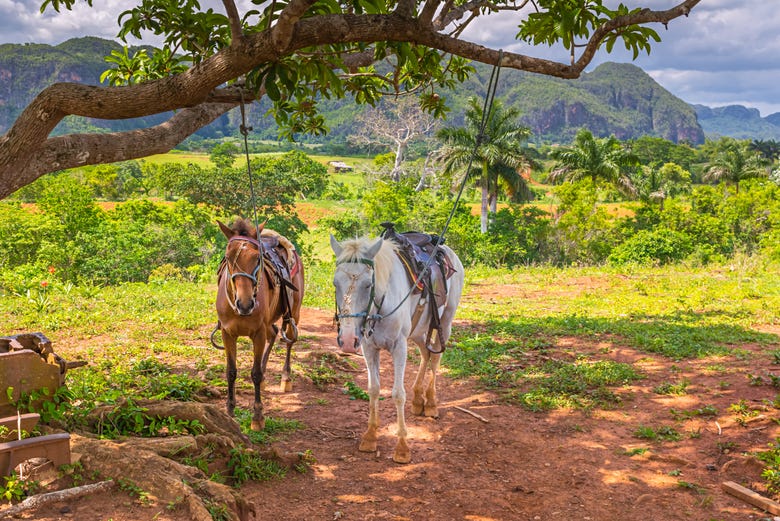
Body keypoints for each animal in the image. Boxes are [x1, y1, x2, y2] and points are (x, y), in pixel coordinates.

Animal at [213, 217, 304, 428]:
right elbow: (231, 371)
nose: (245, 304)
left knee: (289, 340)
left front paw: (257, 416)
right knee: (274, 332)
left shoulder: (258, 333)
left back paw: (285, 377)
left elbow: (254, 373)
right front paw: (230, 410)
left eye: (257, 258)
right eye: (228, 258)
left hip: (293, 314)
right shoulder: (227, 334)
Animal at [330, 234, 464, 462]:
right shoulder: (368, 347)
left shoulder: (399, 347)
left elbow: (398, 394)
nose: (347, 340)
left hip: (445, 322)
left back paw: (431, 403)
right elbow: (374, 389)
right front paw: (370, 436)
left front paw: (402, 447)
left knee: (435, 358)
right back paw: (418, 398)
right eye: (335, 283)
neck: (379, 307)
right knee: (426, 353)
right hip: (418, 331)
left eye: (368, 284)